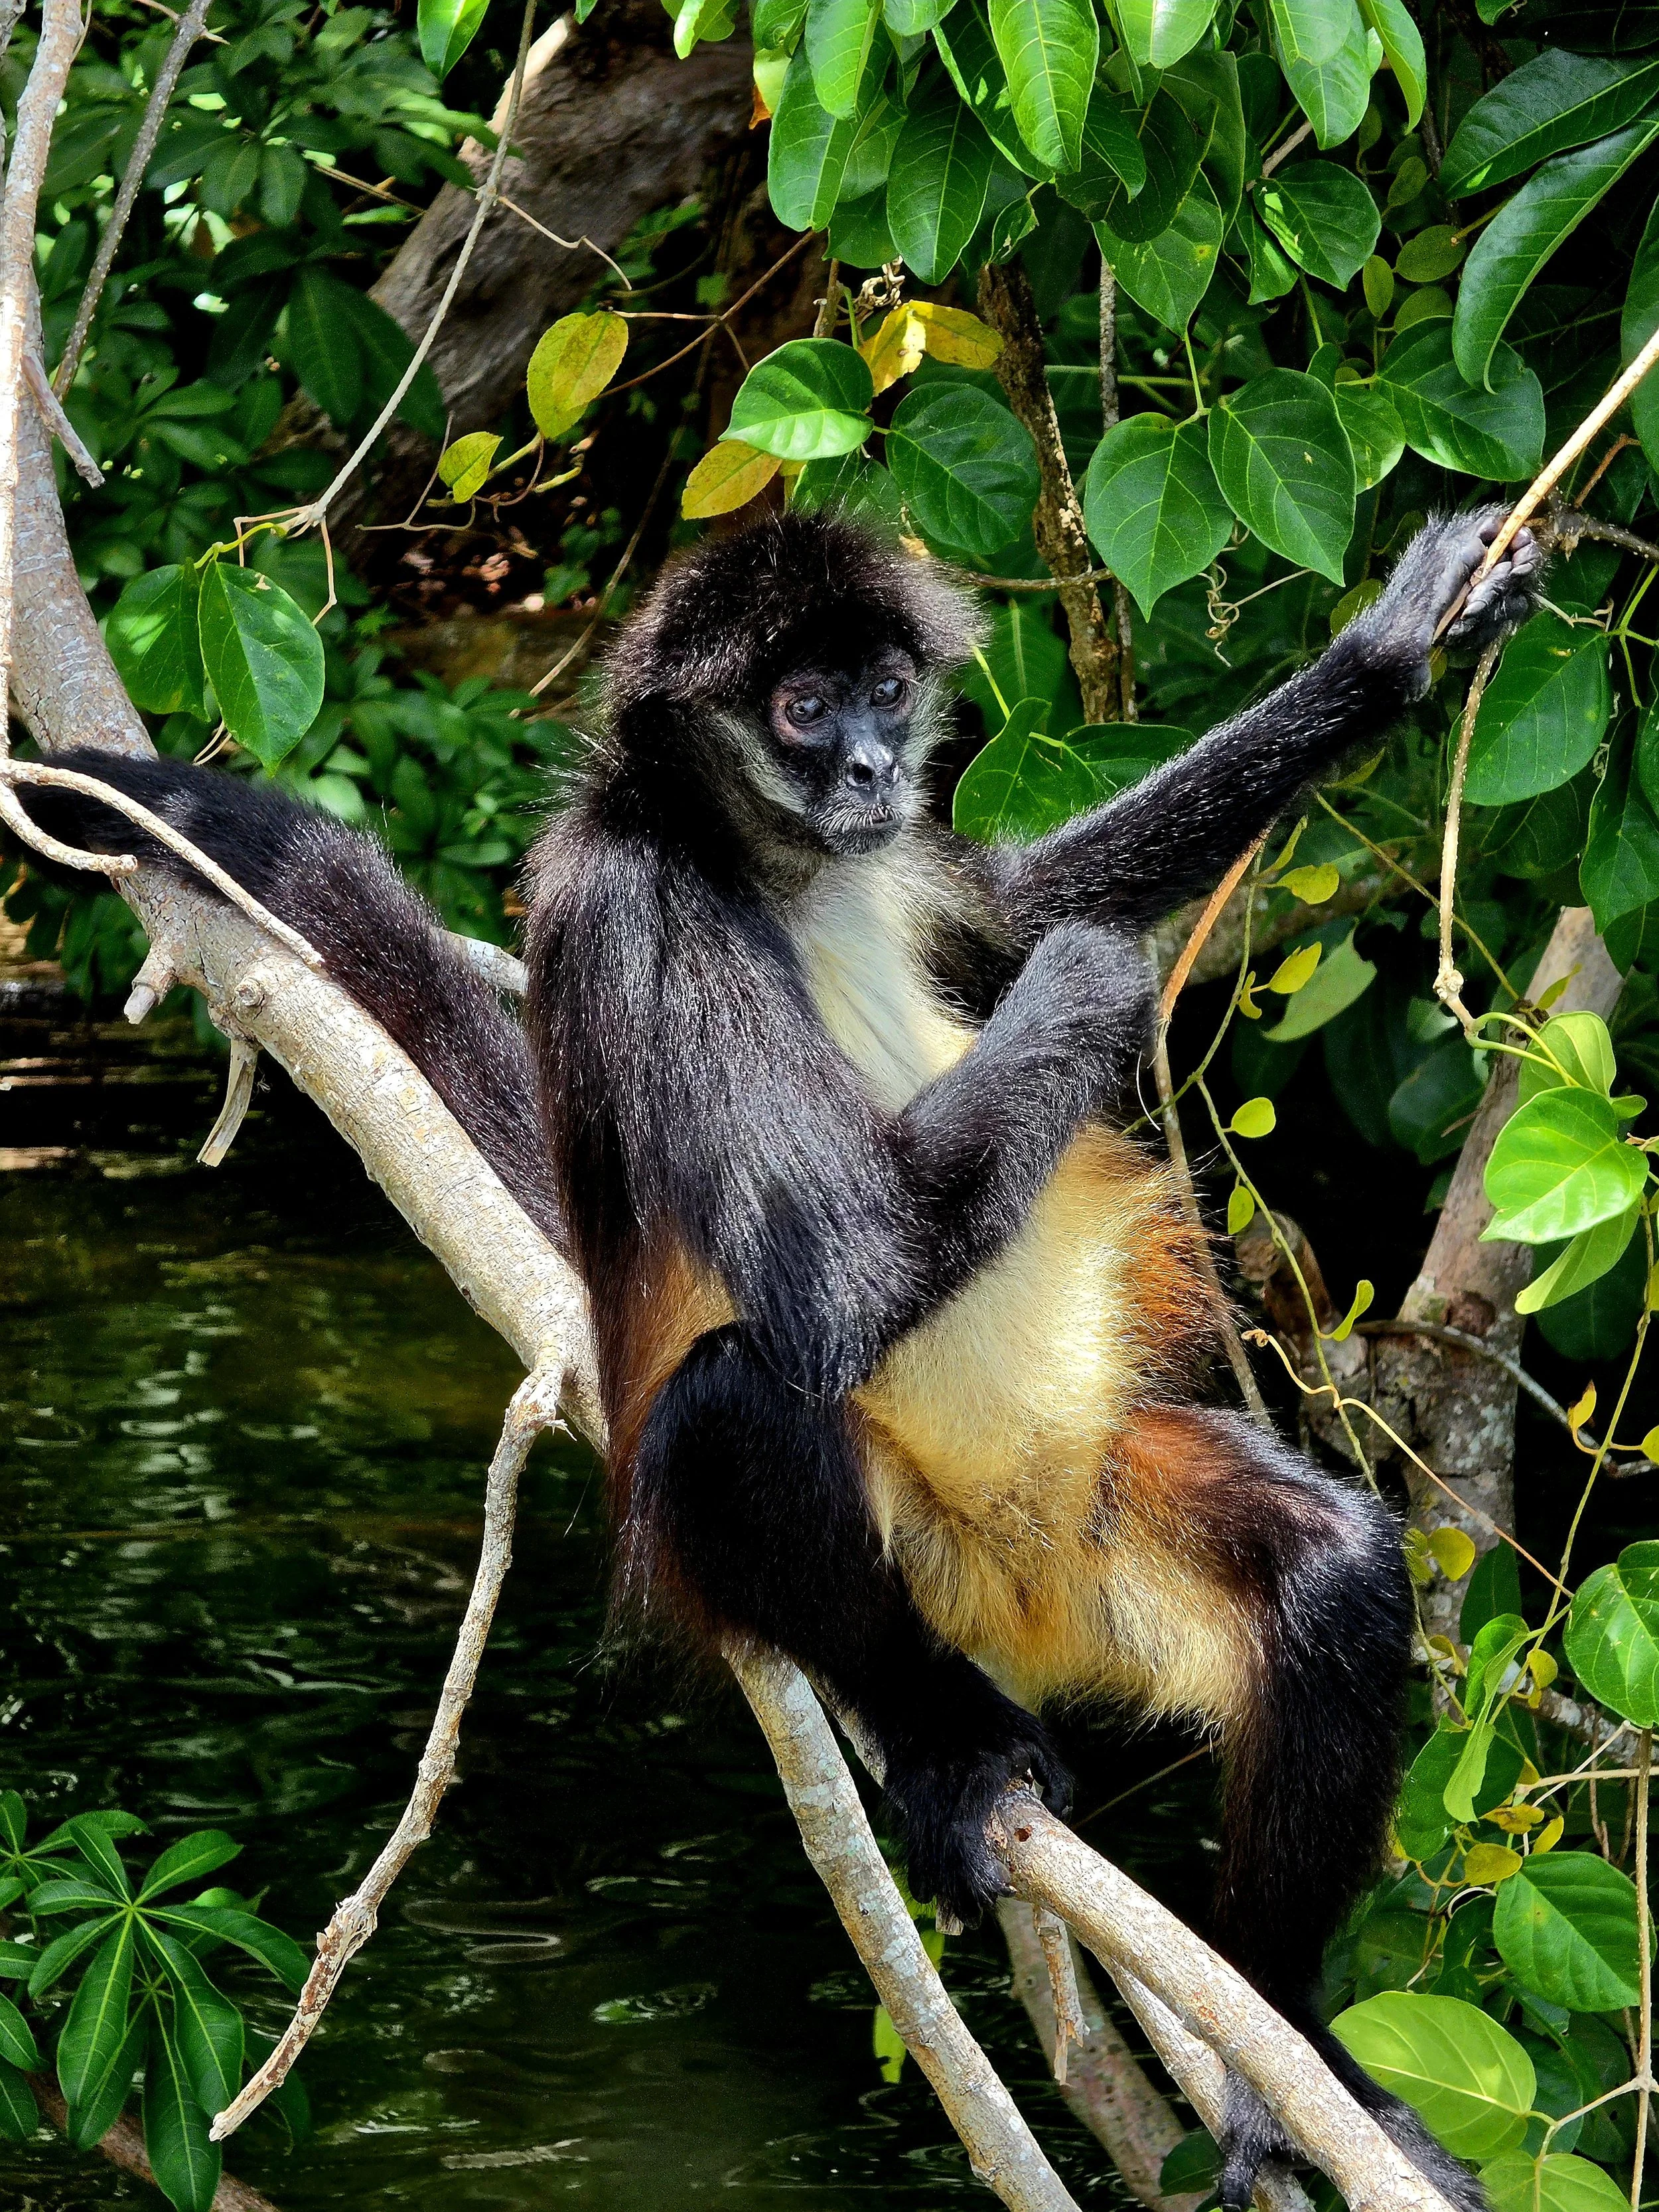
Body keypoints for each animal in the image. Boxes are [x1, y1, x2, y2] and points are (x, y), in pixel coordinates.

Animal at [19, 503, 1539, 2211]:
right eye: (801, 711)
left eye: (882, 689)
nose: (872, 769)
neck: (779, 872)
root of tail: (1006, 1589)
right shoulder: (633, 902)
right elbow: (833, 1277)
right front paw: (1093, 978)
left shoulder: (901, 868)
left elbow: (1016, 901)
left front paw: (1390, 654)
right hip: (883, 1555)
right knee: (729, 1399)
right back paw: (949, 1746)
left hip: (1093, 1526)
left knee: (1332, 1567)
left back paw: (1287, 2072)